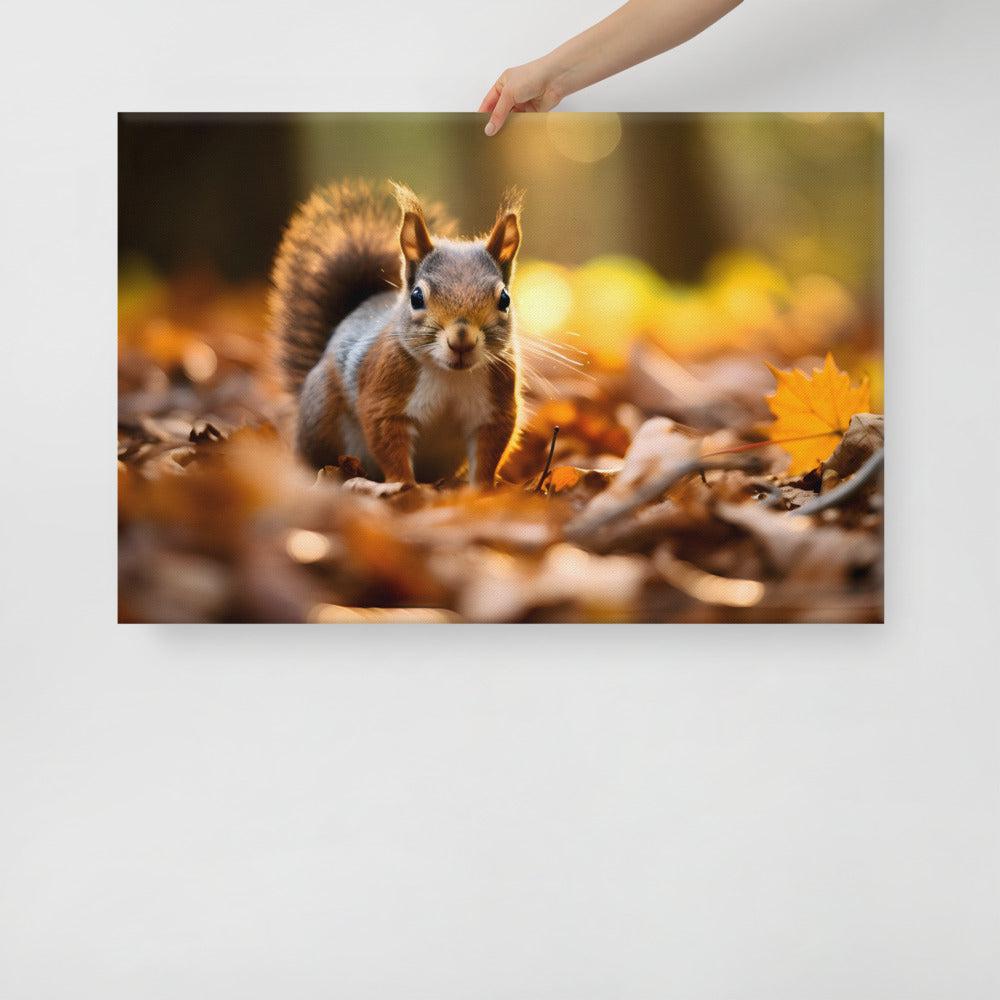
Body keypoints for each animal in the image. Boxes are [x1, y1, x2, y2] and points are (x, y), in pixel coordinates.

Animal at [268, 179, 523, 486]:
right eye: (416, 297)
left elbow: (489, 453)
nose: (461, 340)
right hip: (320, 417)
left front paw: (482, 489)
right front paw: (405, 486)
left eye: (505, 299)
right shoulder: (384, 397)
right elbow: (389, 445)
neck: (449, 375)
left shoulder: (494, 409)